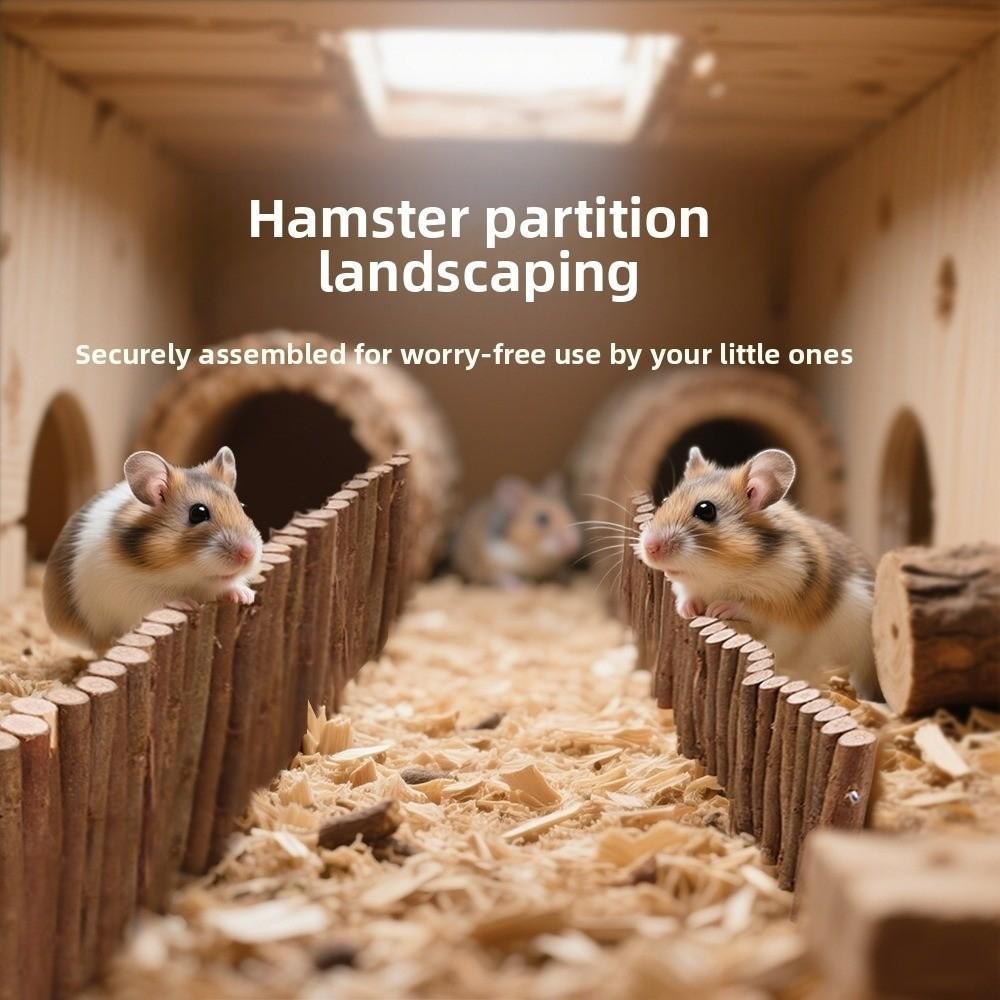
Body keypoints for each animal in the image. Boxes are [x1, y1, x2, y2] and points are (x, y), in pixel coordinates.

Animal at [43, 446, 263, 653]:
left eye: (242, 506)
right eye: (198, 513)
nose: (249, 554)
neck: (183, 574)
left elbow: (227, 586)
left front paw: (246, 596)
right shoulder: (132, 593)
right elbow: (164, 599)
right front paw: (188, 604)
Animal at [452, 476, 581, 586]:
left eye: (568, 510)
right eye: (542, 519)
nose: (574, 545)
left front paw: (564, 577)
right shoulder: (491, 559)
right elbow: (500, 575)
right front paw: (520, 587)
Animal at [638, 447, 881, 700]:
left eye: (706, 510)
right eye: (665, 500)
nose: (649, 548)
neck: (721, 576)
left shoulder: (785, 599)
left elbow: (751, 606)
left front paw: (717, 609)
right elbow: (686, 596)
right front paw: (688, 610)